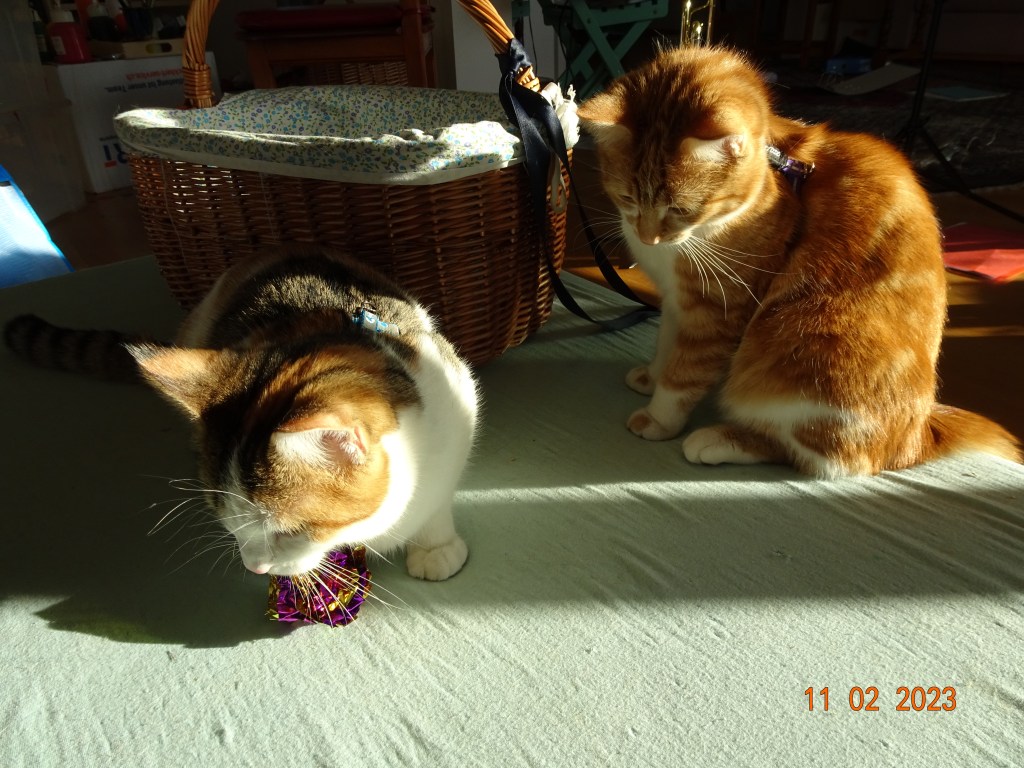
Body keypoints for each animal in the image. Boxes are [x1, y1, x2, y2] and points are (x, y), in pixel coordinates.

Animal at [4, 246, 478, 580]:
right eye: (225, 517)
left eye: (289, 532)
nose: (254, 567)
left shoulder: (457, 416)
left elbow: (438, 505)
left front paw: (435, 548)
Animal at [577, 45, 1021, 477]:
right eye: (628, 198)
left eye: (681, 209)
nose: (646, 236)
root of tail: (916, 437)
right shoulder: (676, 300)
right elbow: (667, 342)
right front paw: (652, 375)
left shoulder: (718, 306)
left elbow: (685, 371)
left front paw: (659, 416)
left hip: (799, 350)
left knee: (824, 457)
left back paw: (720, 440)